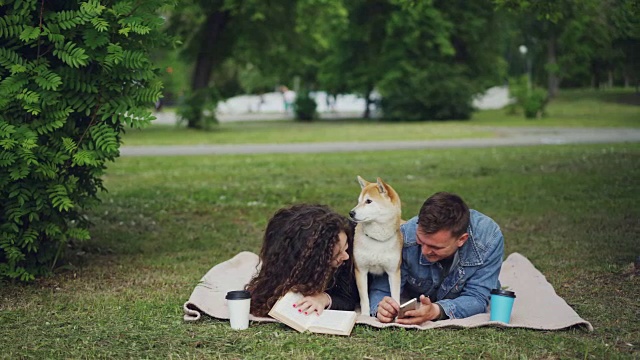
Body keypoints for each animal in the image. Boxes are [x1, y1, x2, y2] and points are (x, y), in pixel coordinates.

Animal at [350, 176, 400, 316]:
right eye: (359, 201)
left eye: (368, 201)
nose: (351, 213)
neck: (377, 239)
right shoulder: (361, 271)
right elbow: (364, 299)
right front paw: (365, 316)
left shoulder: (393, 272)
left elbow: (396, 297)